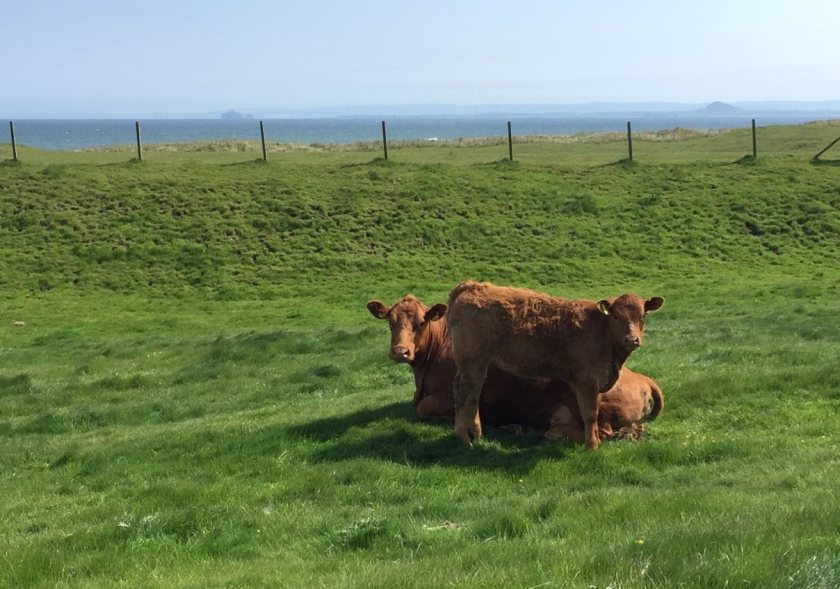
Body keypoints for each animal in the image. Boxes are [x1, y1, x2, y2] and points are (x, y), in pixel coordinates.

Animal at [366, 294, 664, 440]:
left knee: (598, 430)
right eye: (390, 321)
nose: (400, 351)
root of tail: (643, 378)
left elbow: (422, 409)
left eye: (421, 322)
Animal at [446, 280, 664, 450]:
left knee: (474, 395)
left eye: (643, 316)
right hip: (471, 361)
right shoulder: (586, 382)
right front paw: (591, 446)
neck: (600, 330)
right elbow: (590, 414)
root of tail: (473, 285)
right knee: (463, 394)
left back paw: (477, 434)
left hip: (480, 364)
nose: (631, 339)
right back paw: (464, 439)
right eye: (616, 316)